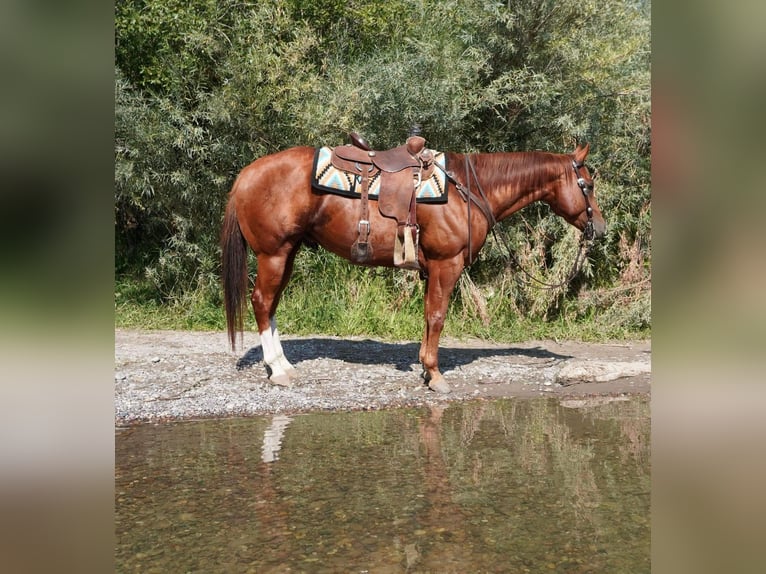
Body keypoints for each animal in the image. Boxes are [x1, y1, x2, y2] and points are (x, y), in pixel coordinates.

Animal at [222, 145, 608, 396]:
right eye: (587, 185)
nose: (601, 229)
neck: (467, 190)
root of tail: (247, 174)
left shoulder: (431, 269)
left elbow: (426, 316)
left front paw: (425, 369)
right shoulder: (446, 265)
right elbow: (437, 317)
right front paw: (435, 375)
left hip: (286, 254)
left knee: (271, 305)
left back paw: (283, 365)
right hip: (273, 254)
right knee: (262, 301)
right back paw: (278, 371)